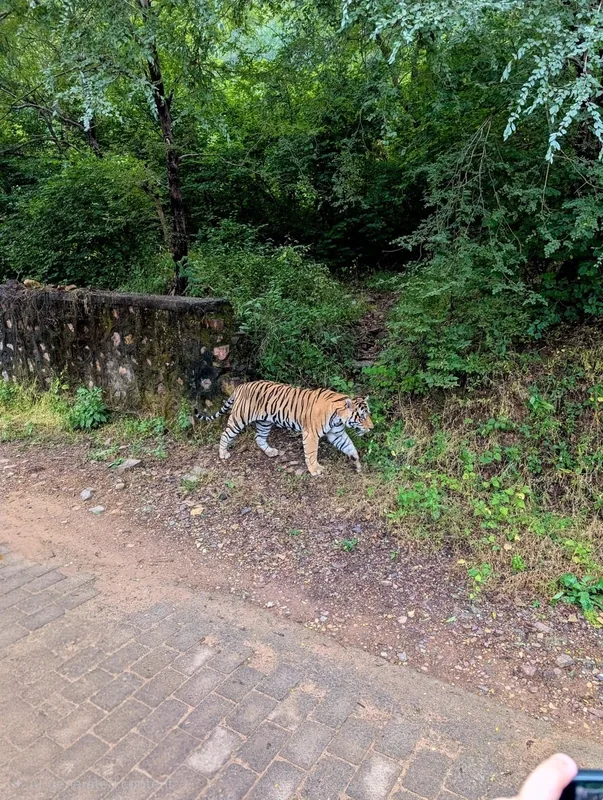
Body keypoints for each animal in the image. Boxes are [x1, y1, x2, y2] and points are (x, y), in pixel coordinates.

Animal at [193, 380, 373, 476]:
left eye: (369, 414)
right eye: (362, 417)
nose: (371, 428)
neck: (338, 418)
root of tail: (240, 386)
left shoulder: (337, 434)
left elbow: (350, 447)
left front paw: (357, 464)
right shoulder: (311, 434)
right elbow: (311, 453)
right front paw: (315, 469)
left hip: (264, 422)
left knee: (259, 437)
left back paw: (270, 452)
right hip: (239, 418)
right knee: (225, 434)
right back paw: (223, 453)